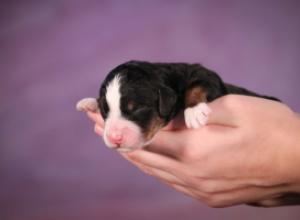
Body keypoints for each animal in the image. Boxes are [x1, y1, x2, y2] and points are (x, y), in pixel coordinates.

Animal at [76, 61, 280, 152]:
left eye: (137, 109)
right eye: (106, 110)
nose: (115, 138)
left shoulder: (208, 76)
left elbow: (196, 85)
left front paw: (194, 111)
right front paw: (89, 102)